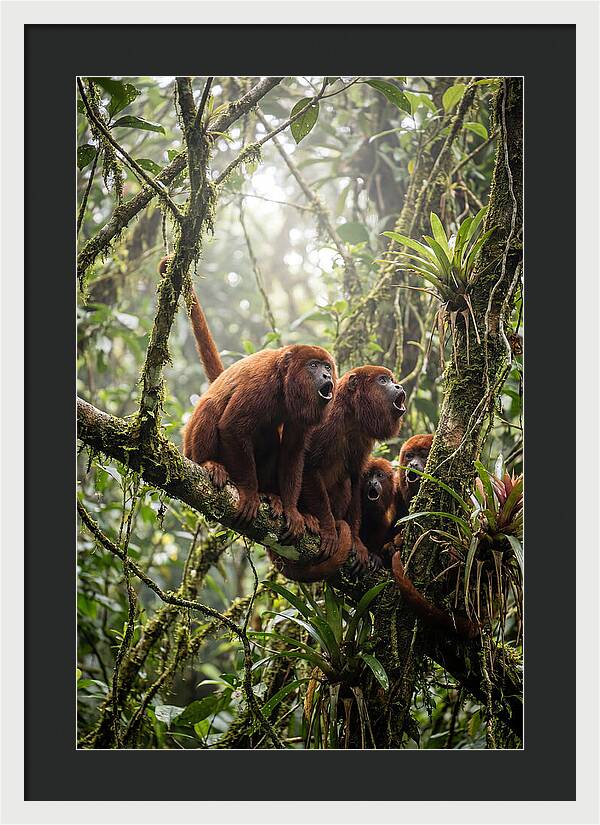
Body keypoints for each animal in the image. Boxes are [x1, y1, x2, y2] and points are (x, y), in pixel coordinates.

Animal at [160, 257, 338, 538]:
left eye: (327, 366)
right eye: (313, 366)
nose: (326, 375)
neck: (284, 383)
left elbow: (292, 451)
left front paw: (291, 509)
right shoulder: (261, 384)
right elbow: (231, 426)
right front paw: (251, 493)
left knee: (271, 438)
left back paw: (271, 496)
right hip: (190, 448)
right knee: (211, 408)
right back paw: (210, 464)